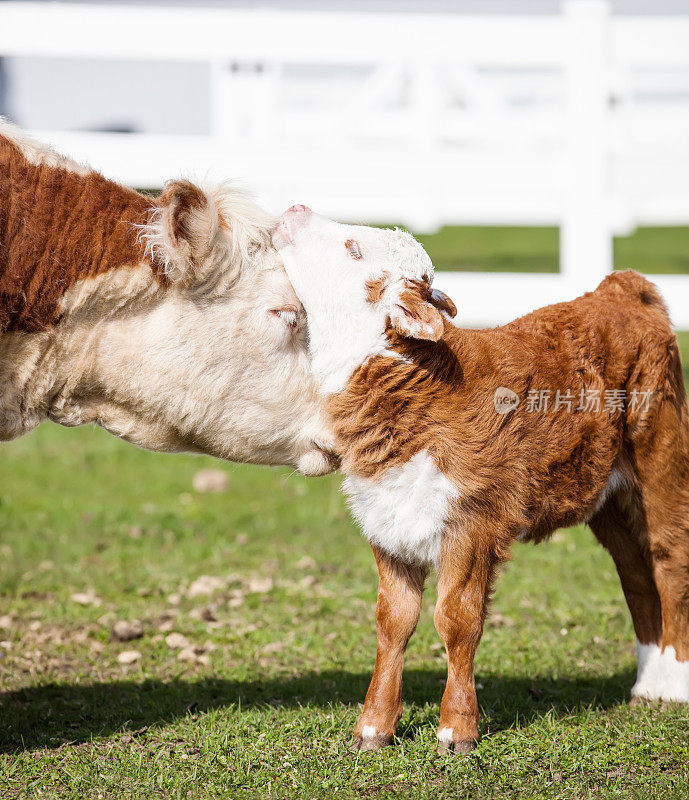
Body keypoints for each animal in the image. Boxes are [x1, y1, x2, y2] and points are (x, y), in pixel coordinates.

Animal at [276, 203, 688, 752]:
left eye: (354, 248)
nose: (295, 208)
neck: (409, 388)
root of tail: (619, 290)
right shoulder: (388, 519)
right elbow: (392, 621)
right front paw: (374, 727)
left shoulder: (473, 522)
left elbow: (457, 620)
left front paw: (457, 729)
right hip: (610, 498)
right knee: (636, 575)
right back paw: (647, 684)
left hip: (661, 459)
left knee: (670, 562)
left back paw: (673, 686)